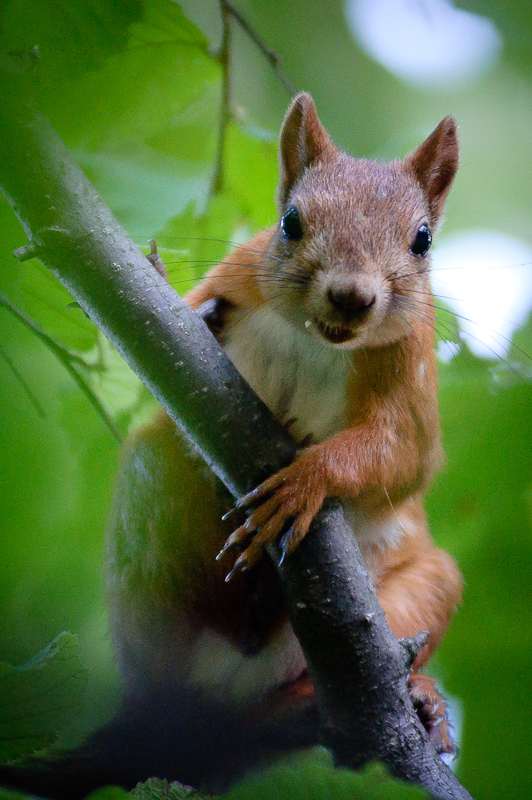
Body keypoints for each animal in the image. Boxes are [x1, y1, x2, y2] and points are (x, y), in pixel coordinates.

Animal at [0, 92, 462, 792]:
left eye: (422, 239)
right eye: (290, 222)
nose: (352, 297)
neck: (316, 337)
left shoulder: (409, 378)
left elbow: (400, 457)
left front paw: (305, 479)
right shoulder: (235, 272)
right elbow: (176, 326)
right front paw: (194, 311)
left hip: (422, 591)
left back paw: (406, 701)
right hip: (152, 549)